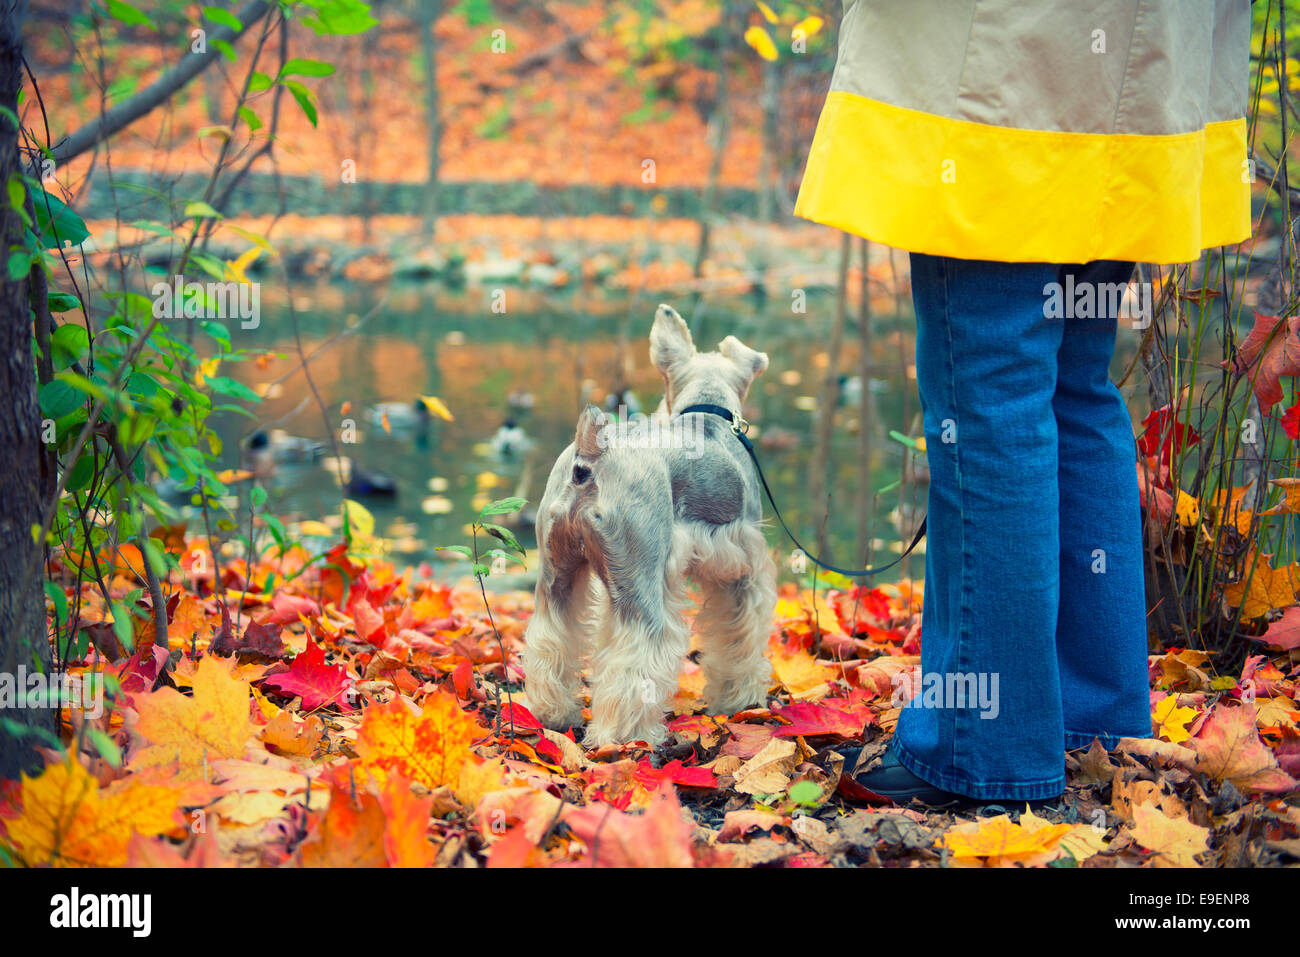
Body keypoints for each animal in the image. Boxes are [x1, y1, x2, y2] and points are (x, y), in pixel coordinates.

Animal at [520, 304, 780, 748]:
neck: (706, 415)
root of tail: (592, 455)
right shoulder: (742, 573)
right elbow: (740, 639)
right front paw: (739, 699)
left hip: (557, 576)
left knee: (550, 640)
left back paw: (551, 713)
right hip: (640, 586)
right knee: (635, 661)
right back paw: (628, 737)